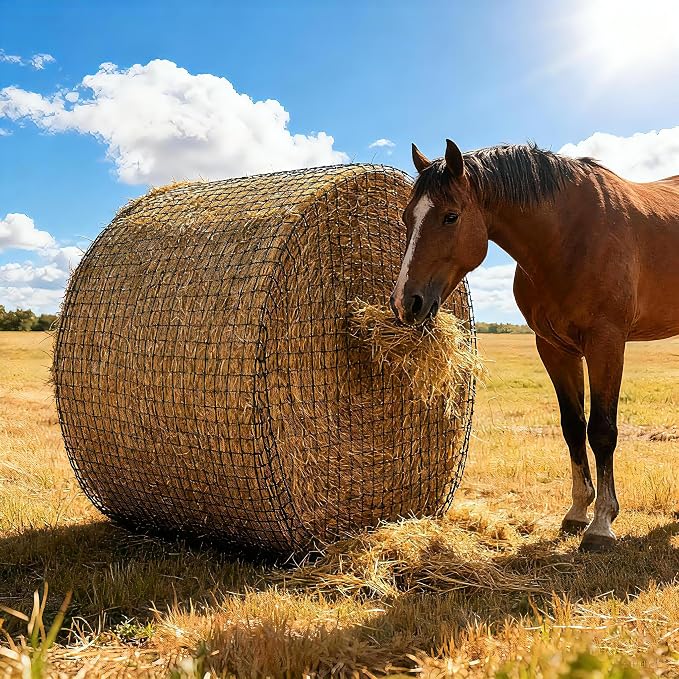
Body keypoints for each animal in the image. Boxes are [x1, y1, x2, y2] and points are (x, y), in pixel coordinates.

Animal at [390, 139, 679, 552]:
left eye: (450, 217)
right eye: (407, 218)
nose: (405, 302)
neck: (569, 236)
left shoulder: (606, 342)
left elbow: (602, 430)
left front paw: (601, 525)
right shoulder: (555, 348)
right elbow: (573, 426)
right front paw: (577, 512)